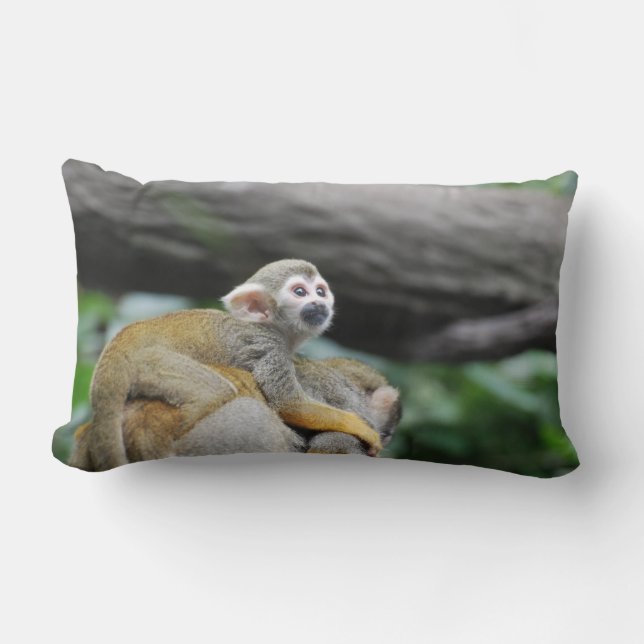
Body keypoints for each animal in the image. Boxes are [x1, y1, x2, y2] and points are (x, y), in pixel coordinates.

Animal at [85, 259, 383, 470]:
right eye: (300, 292)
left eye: (320, 291)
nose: (319, 302)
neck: (271, 327)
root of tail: (116, 346)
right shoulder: (268, 346)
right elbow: (289, 404)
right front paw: (362, 428)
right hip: (151, 363)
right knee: (214, 391)